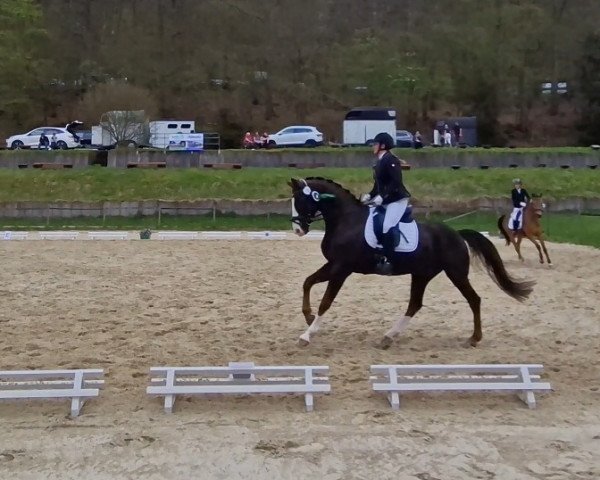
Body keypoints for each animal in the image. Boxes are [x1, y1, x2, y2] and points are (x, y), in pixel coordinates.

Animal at [288, 176, 536, 348]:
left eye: (300, 200)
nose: (298, 230)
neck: (345, 220)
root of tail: (456, 234)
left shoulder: (342, 269)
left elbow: (326, 302)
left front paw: (306, 335)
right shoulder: (333, 265)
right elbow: (307, 282)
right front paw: (308, 316)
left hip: (455, 273)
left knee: (474, 300)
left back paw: (474, 338)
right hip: (422, 274)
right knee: (415, 304)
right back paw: (388, 337)